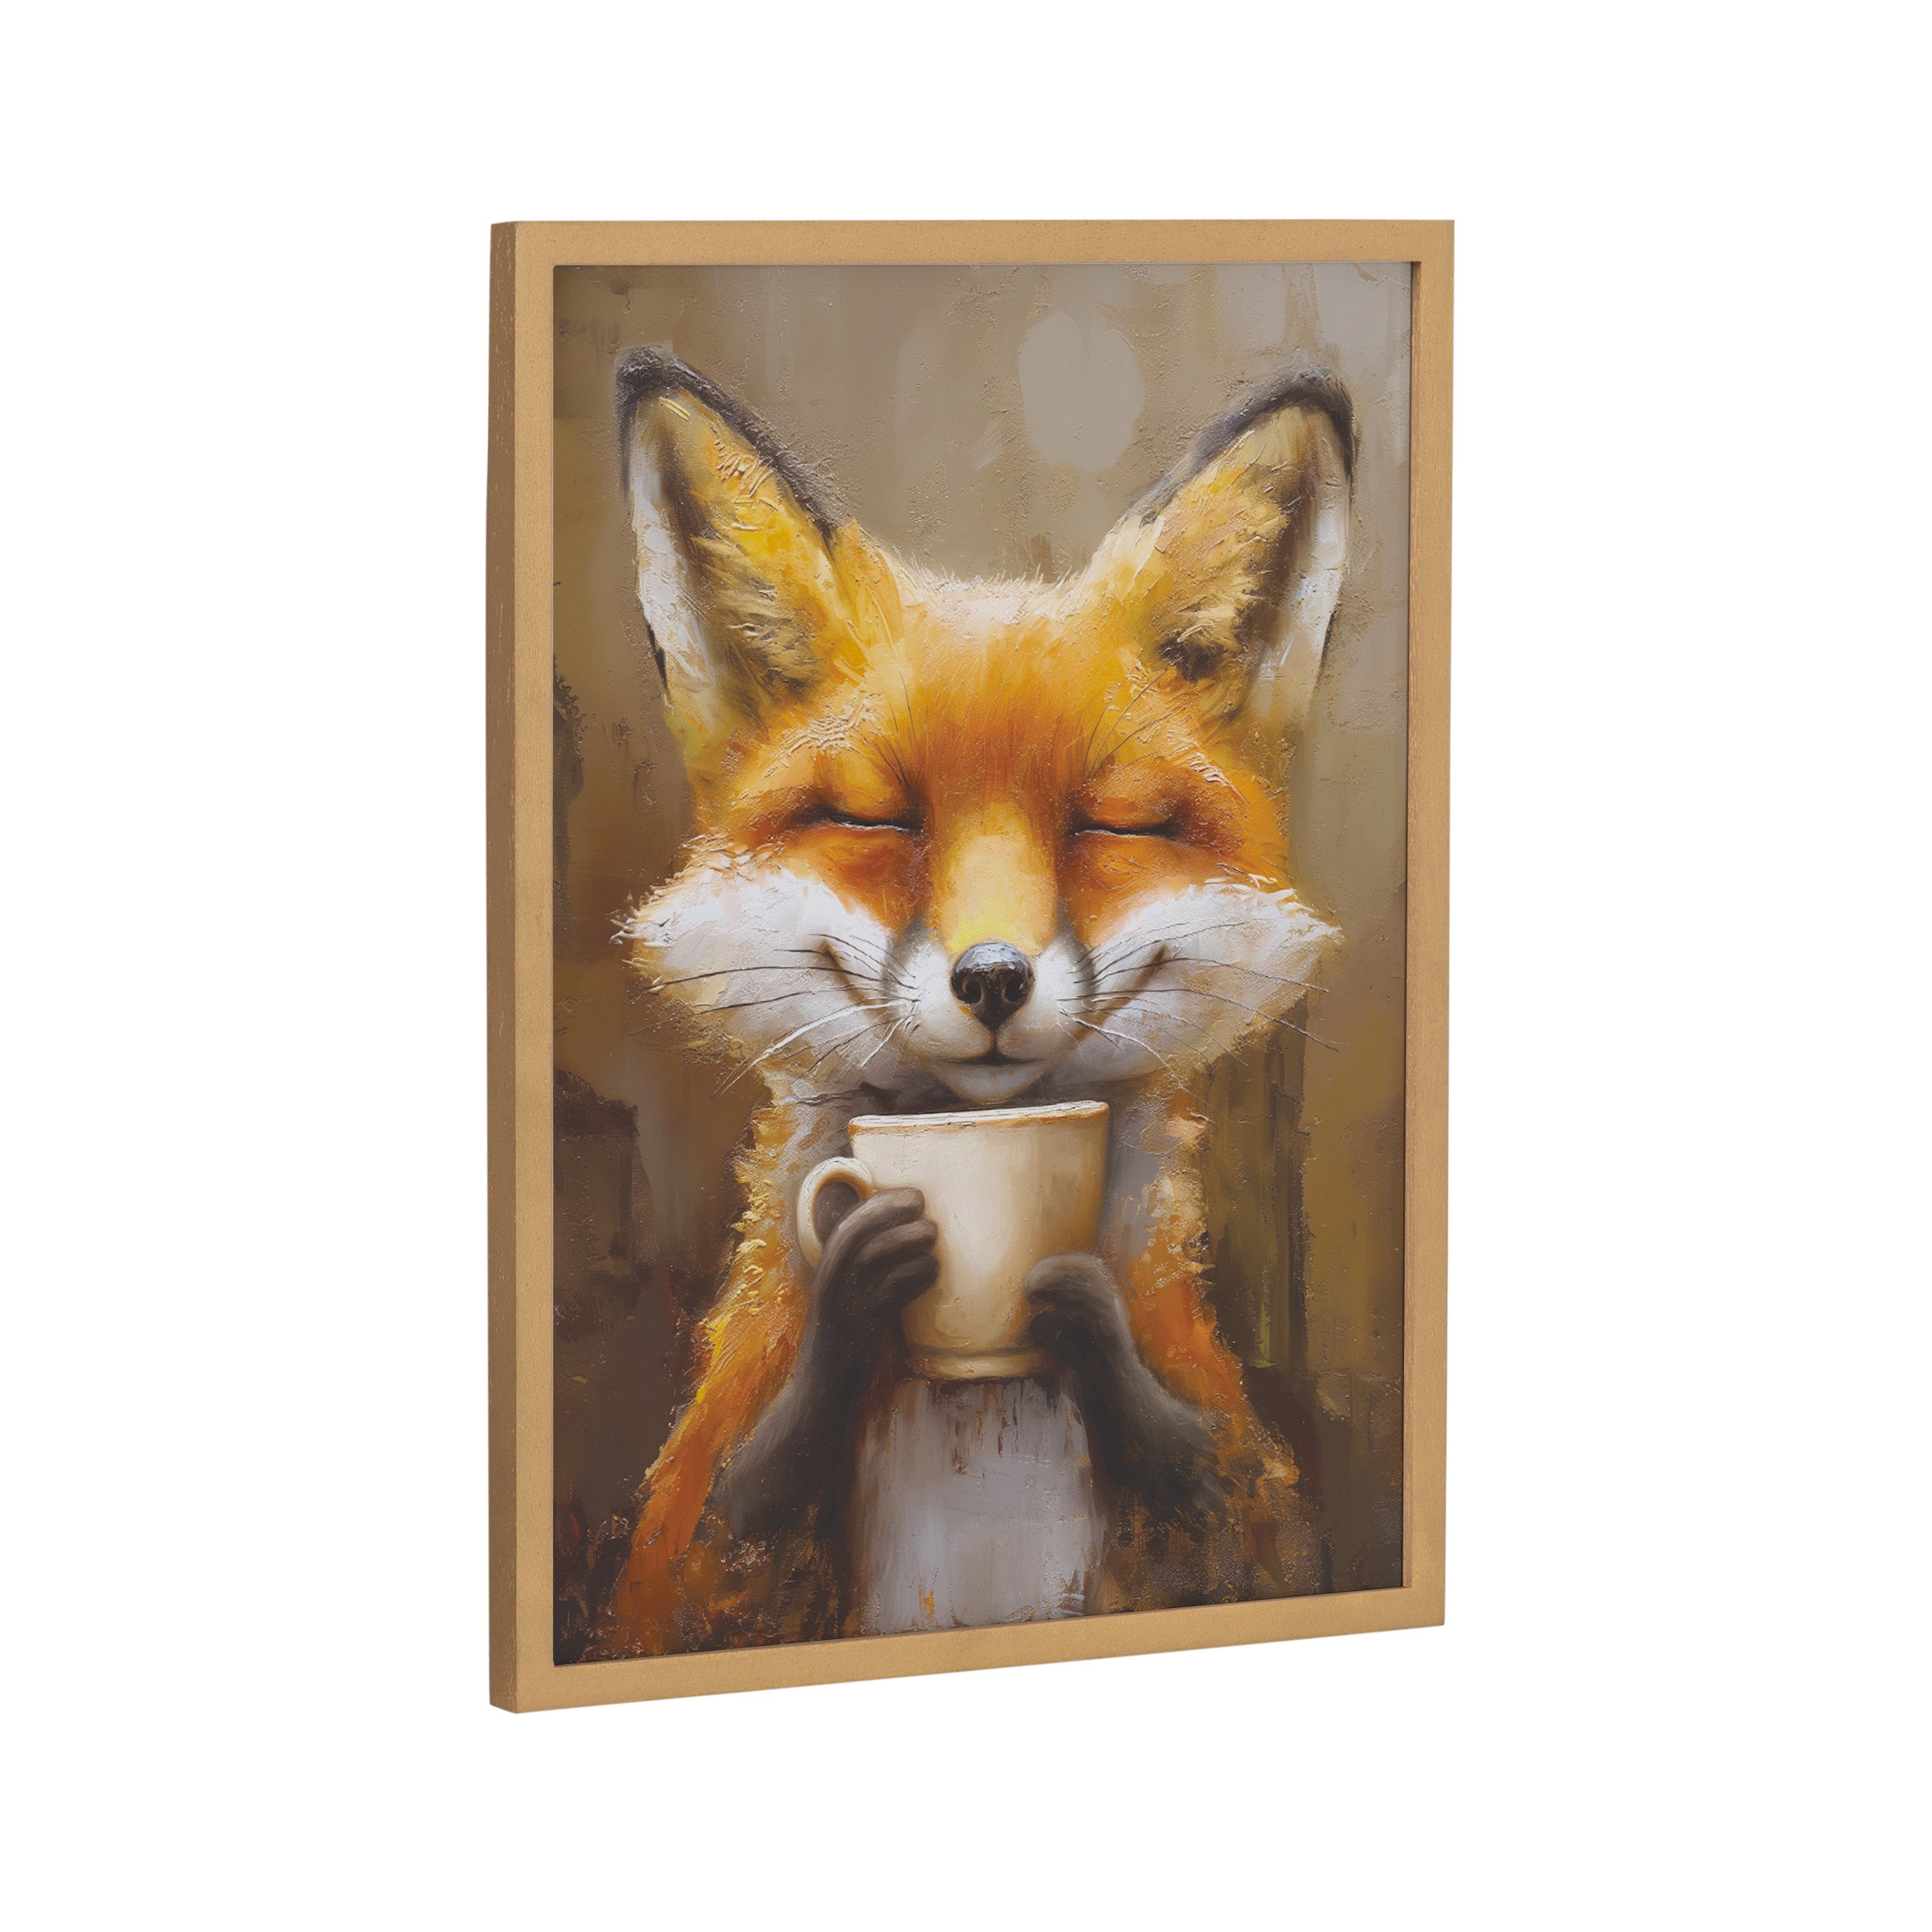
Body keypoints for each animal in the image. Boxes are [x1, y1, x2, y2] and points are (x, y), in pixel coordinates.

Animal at [591, 347, 1355, 1656]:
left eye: (1110, 825)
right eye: (878, 819)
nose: (993, 978)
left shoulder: (1248, 1529)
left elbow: (1216, 1506)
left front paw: (1084, 1311)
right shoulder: (679, 1574)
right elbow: (721, 1547)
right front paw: (856, 1291)